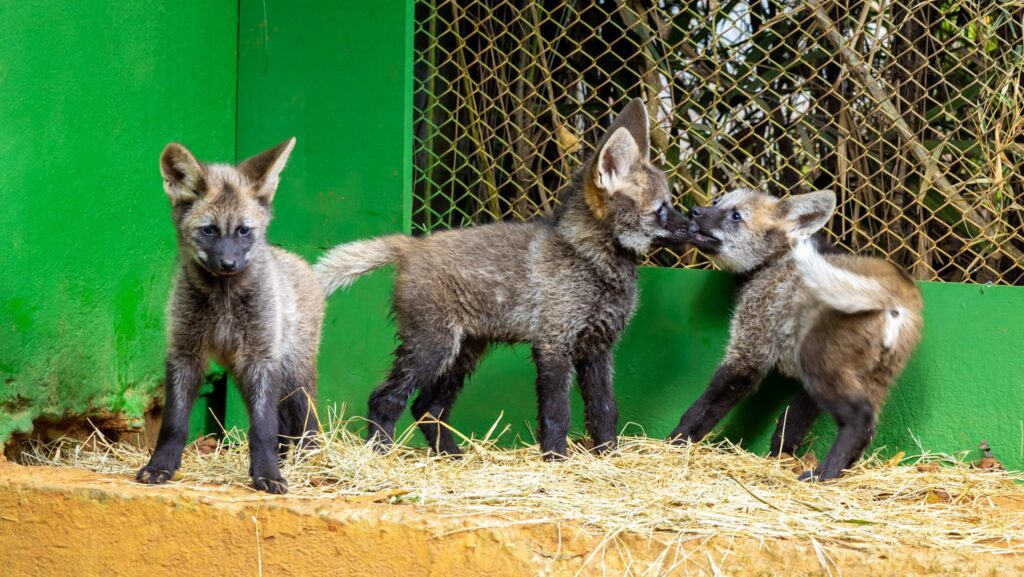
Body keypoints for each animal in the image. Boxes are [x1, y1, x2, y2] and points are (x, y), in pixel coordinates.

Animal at [136, 138, 324, 494]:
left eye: (244, 231)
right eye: (209, 230)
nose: (228, 264)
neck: (223, 302)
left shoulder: (261, 359)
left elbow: (262, 428)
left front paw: (268, 474)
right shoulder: (185, 353)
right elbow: (174, 423)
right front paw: (160, 467)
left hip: (291, 373)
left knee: (306, 419)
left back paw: (310, 458)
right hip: (242, 371)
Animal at [315, 98, 691, 458]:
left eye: (669, 205)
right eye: (661, 209)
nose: (694, 223)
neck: (590, 260)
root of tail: (411, 244)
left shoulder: (598, 348)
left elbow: (604, 411)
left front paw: (608, 458)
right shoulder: (553, 343)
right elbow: (557, 415)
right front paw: (556, 461)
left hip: (463, 354)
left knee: (427, 408)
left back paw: (453, 456)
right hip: (433, 348)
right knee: (386, 398)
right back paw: (378, 453)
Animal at [669, 188, 923, 481]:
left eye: (736, 216)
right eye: (716, 202)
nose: (694, 211)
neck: (772, 264)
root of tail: (898, 288)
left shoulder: (749, 352)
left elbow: (702, 408)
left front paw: (672, 443)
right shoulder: (805, 383)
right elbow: (788, 426)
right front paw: (779, 459)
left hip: (824, 368)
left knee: (860, 419)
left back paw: (824, 475)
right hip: (871, 377)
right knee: (869, 428)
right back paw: (841, 471)